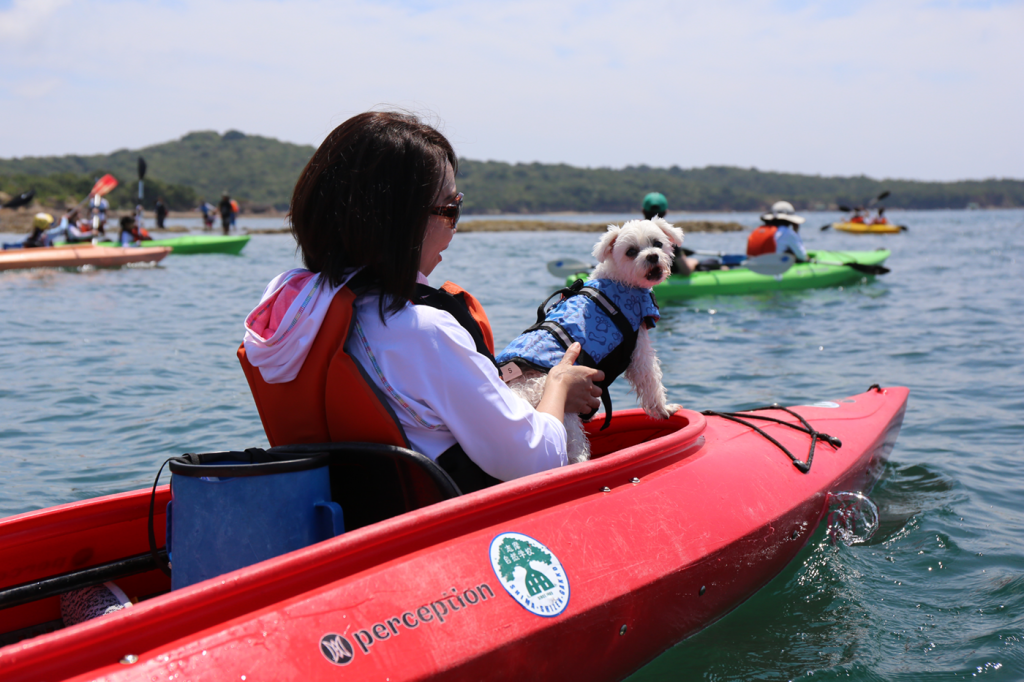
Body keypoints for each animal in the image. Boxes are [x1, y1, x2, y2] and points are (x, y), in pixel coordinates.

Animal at [497, 218, 684, 462]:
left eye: (658, 243)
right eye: (631, 252)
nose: (652, 256)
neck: (618, 280)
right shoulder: (638, 348)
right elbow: (651, 379)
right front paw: (664, 409)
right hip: (567, 420)